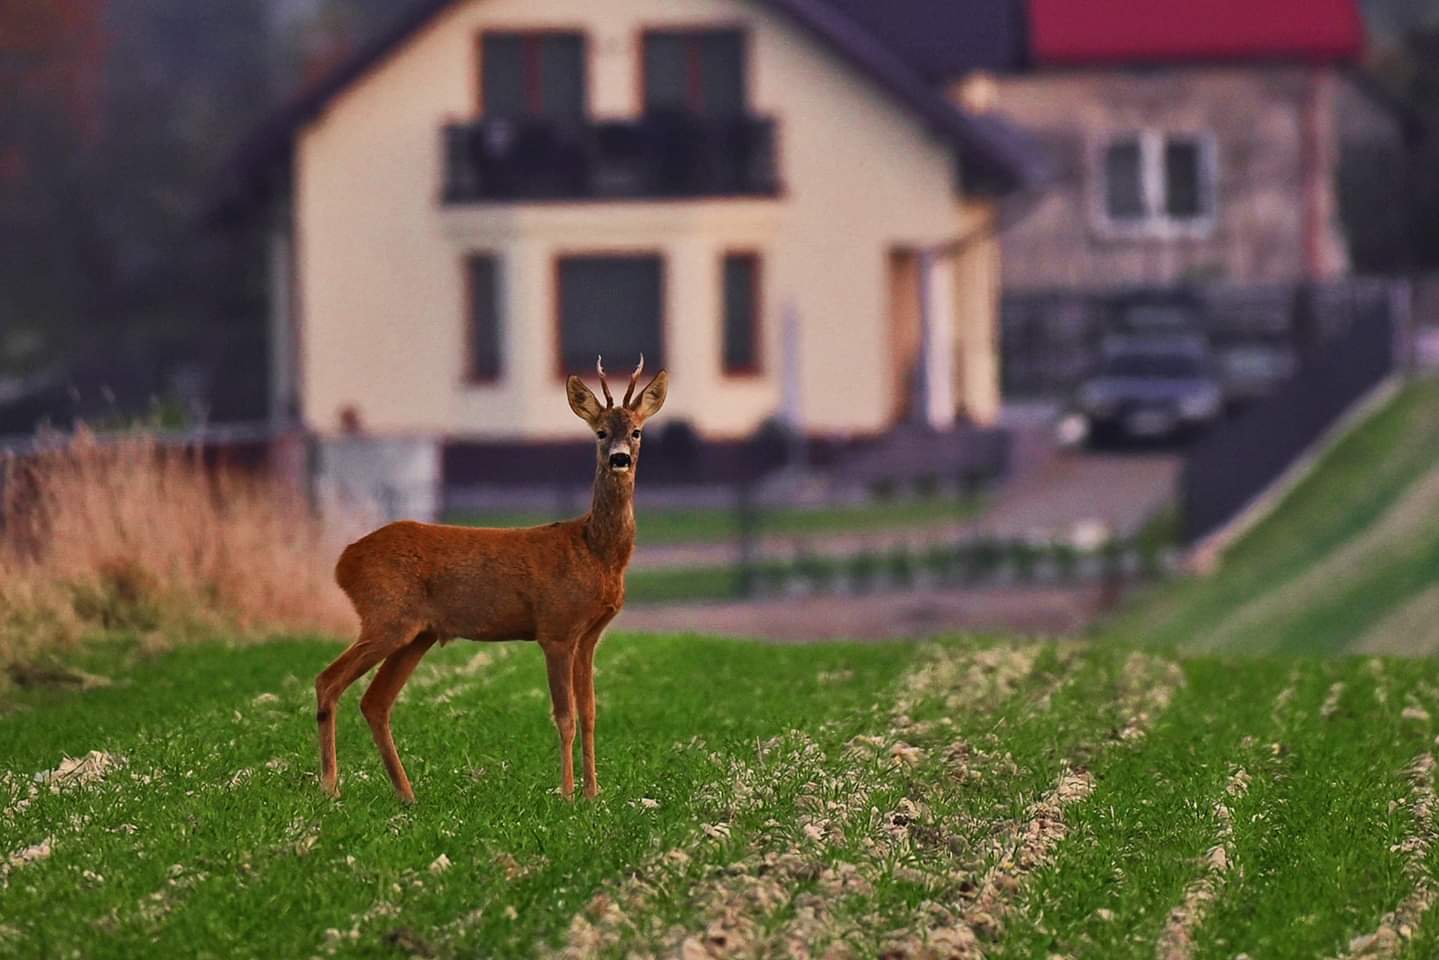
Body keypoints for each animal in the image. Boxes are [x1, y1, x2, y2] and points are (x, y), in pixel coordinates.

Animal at [315, 352, 667, 805]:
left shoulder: (589, 634)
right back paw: (330, 787)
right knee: (328, 681)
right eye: (601, 432)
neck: (594, 549)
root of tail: (343, 561)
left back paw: (406, 794)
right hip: (386, 616)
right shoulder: (555, 628)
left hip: (417, 633)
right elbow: (565, 715)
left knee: (375, 702)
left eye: (637, 432)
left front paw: (593, 793)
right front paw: (567, 793)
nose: (619, 458)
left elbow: (590, 712)